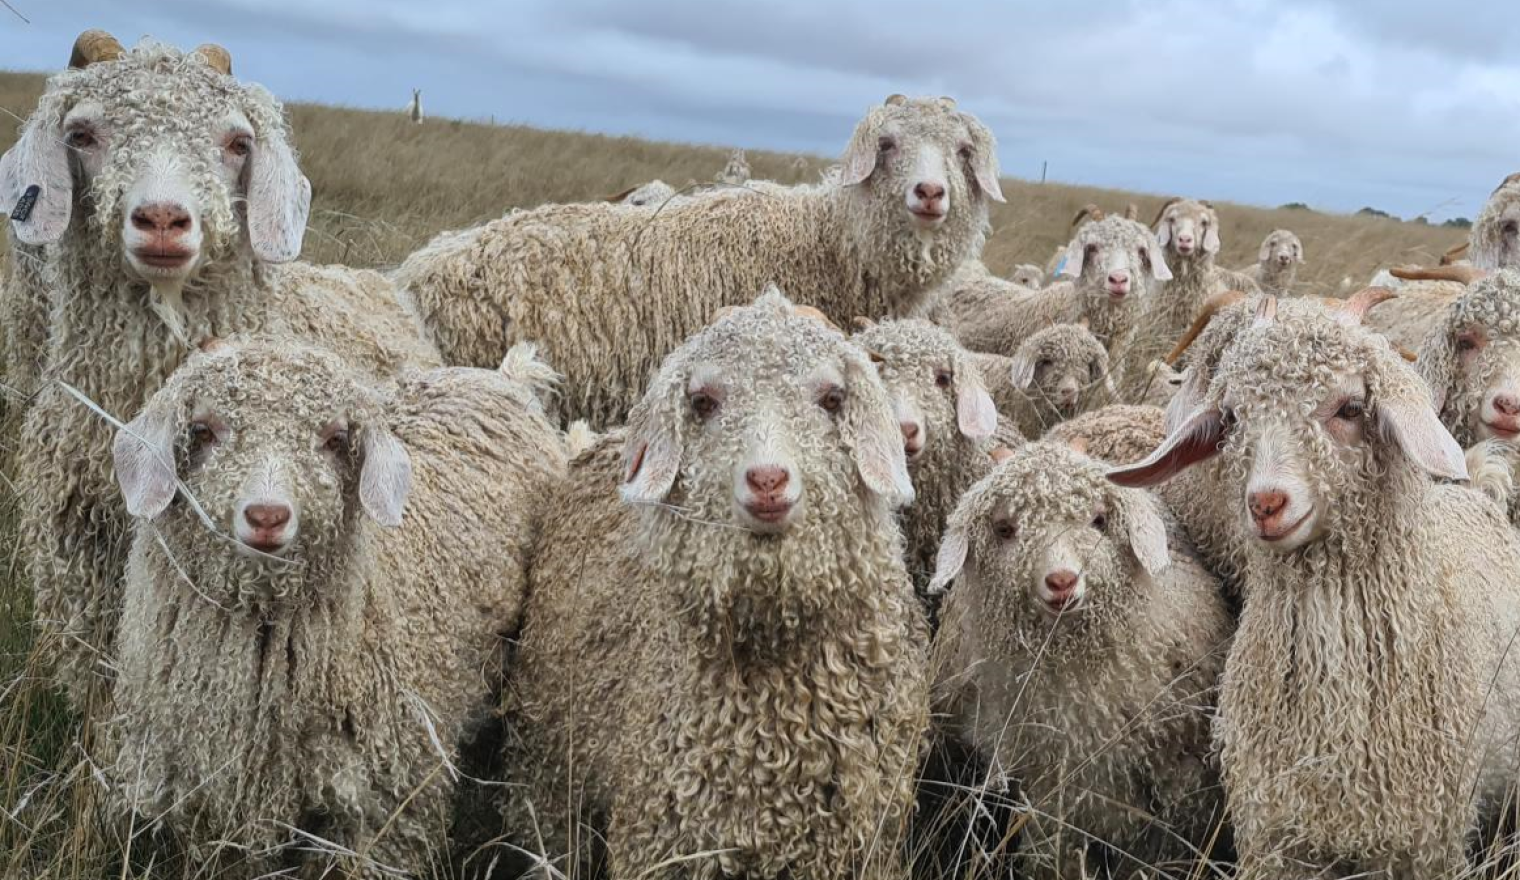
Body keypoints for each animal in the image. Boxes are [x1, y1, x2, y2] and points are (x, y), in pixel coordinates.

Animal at [501, 288, 928, 880]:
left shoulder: (864, 840)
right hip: (543, 757)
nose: (768, 480)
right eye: (703, 401)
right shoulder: (665, 834)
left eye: (832, 398)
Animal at [1109, 298, 1520, 879]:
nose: (1266, 503)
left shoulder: (1427, 845)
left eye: (1350, 407)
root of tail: (1477, 493)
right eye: (1232, 417)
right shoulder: (1274, 839)